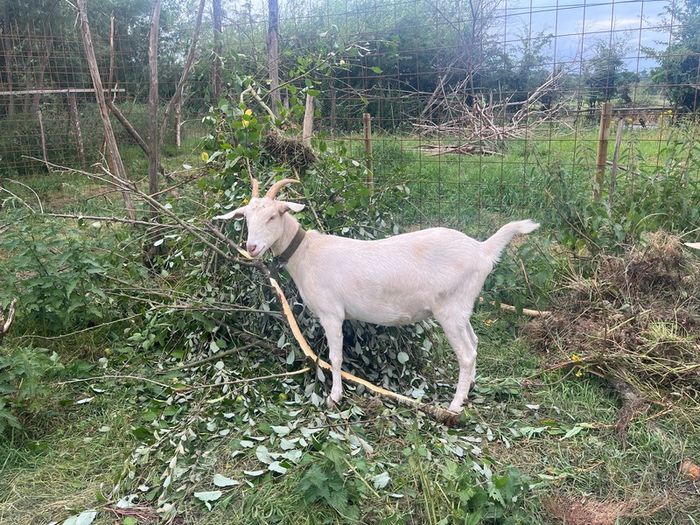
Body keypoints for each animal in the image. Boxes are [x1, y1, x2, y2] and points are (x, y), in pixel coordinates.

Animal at [215, 178, 539, 413]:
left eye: (273, 216)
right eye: (246, 218)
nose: (252, 247)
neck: (307, 253)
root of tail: (483, 250)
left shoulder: (332, 313)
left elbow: (335, 356)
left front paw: (334, 397)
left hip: (450, 309)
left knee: (467, 354)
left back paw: (455, 405)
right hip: (462, 308)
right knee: (474, 342)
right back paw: (468, 390)